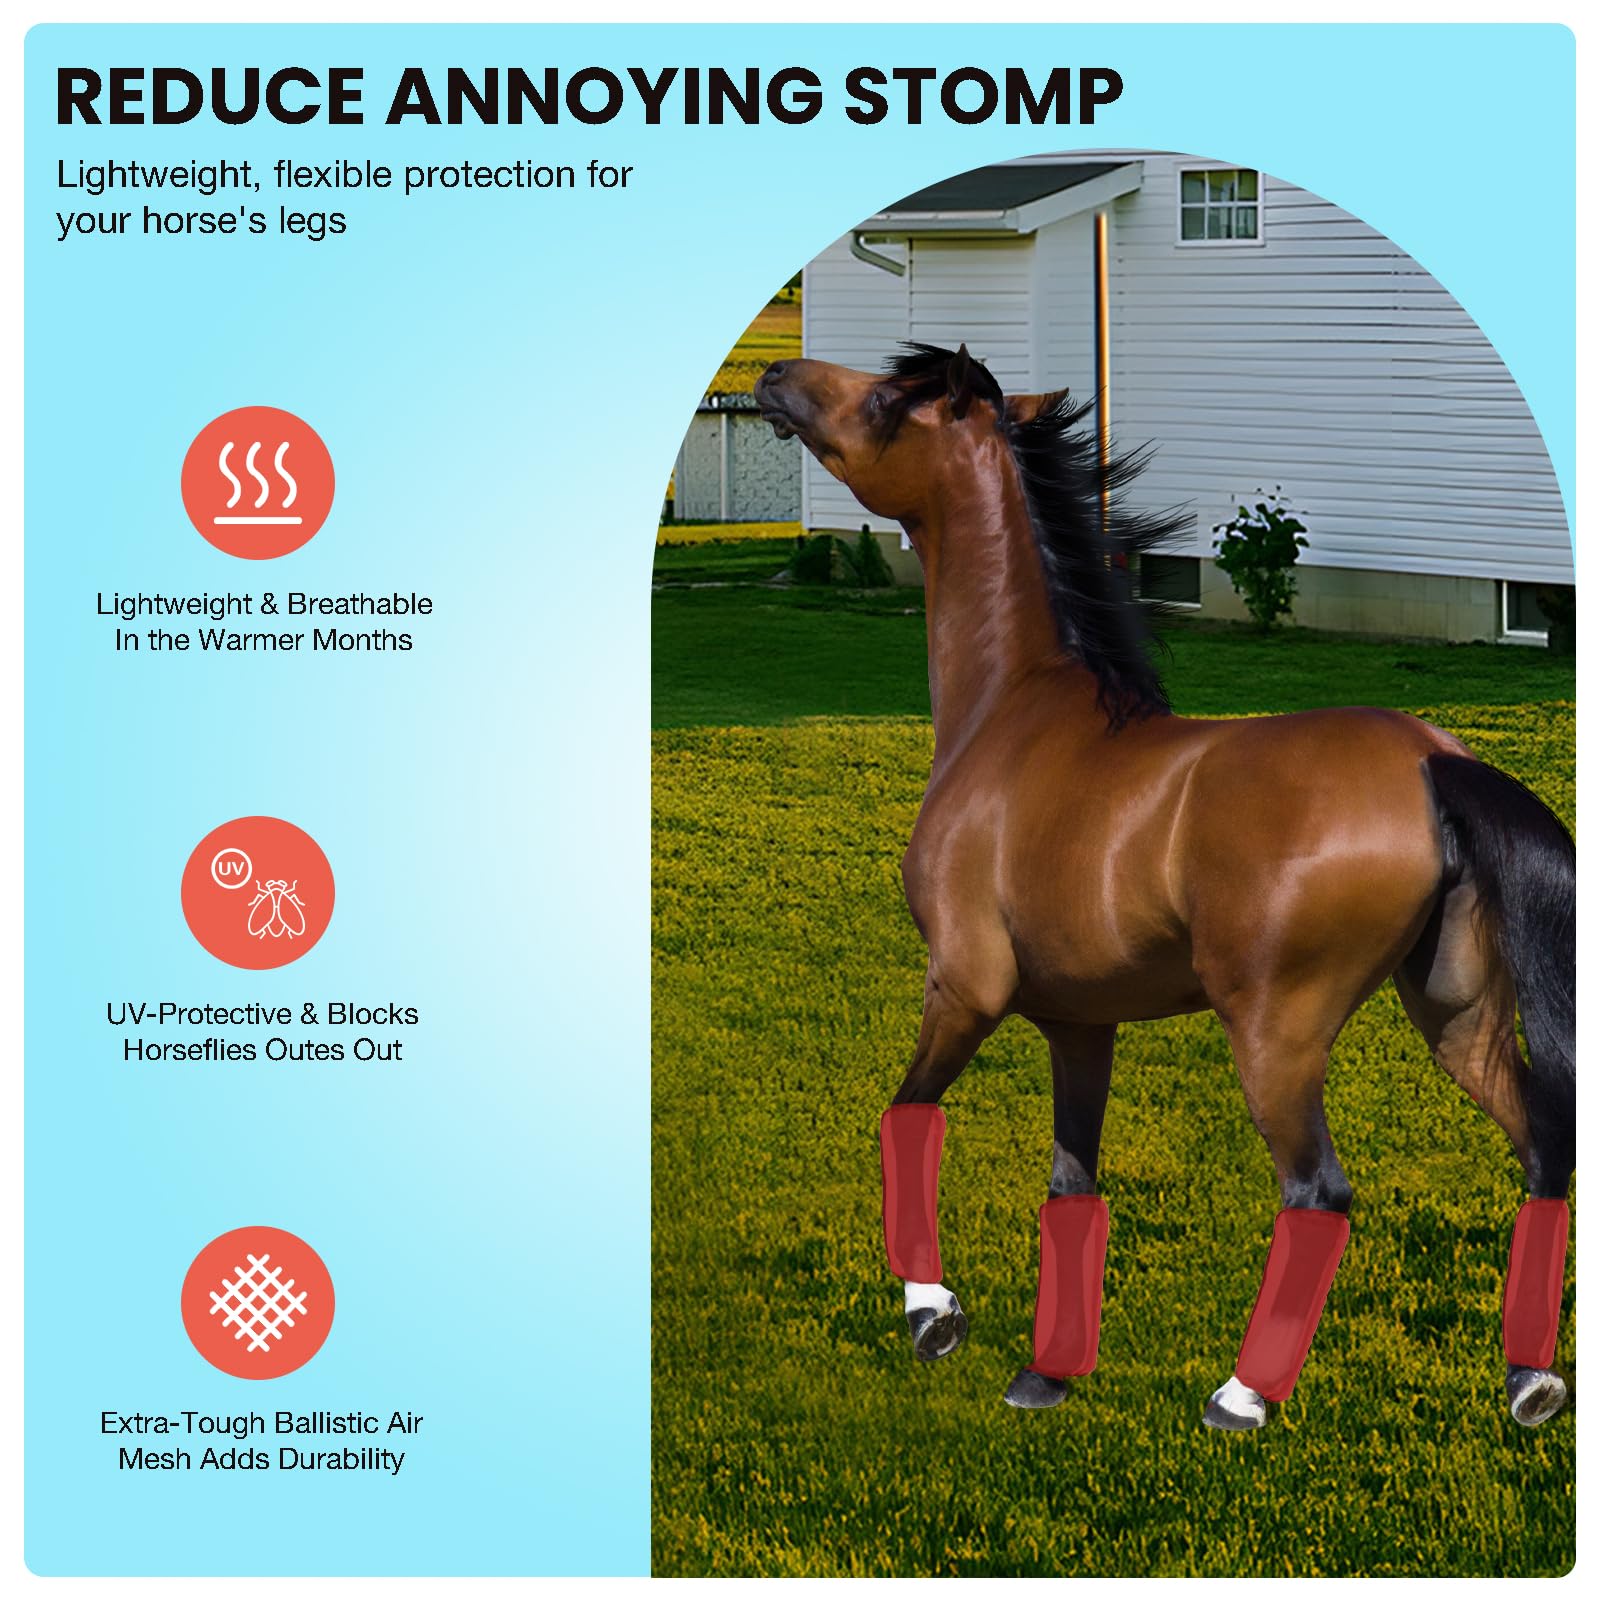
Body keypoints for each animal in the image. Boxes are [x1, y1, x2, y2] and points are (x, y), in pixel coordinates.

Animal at [754, 342, 1575, 1430]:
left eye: (890, 398)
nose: (775, 377)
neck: (1011, 715)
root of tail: (1430, 759)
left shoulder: (965, 986)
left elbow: (906, 1115)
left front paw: (934, 1315)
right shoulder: (1077, 1024)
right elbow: (1071, 1184)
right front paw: (1044, 1375)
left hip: (1276, 1035)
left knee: (1319, 1192)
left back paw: (1241, 1396)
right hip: (1456, 1015)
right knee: (1542, 1148)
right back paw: (1531, 1381)